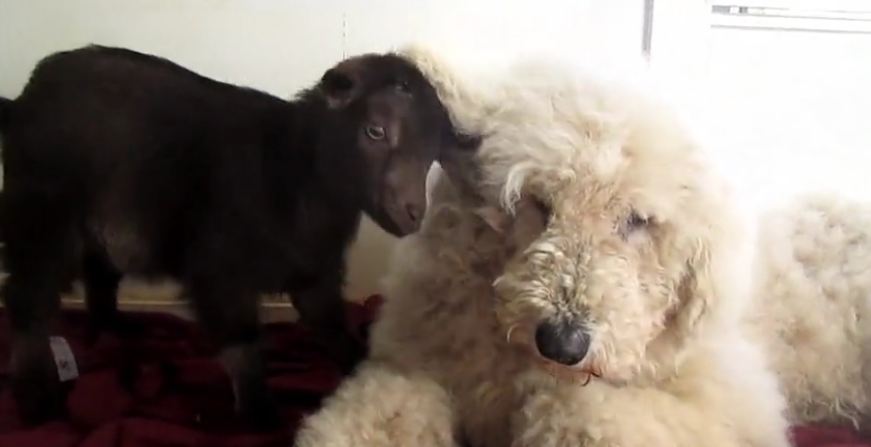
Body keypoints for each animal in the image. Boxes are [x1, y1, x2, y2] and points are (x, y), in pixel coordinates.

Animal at [294, 48, 871, 447]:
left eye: (638, 221)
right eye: (536, 201)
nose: (562, 343)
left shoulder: (729, 413)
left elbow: (576, 410)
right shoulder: (416, 365)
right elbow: (378, 412)